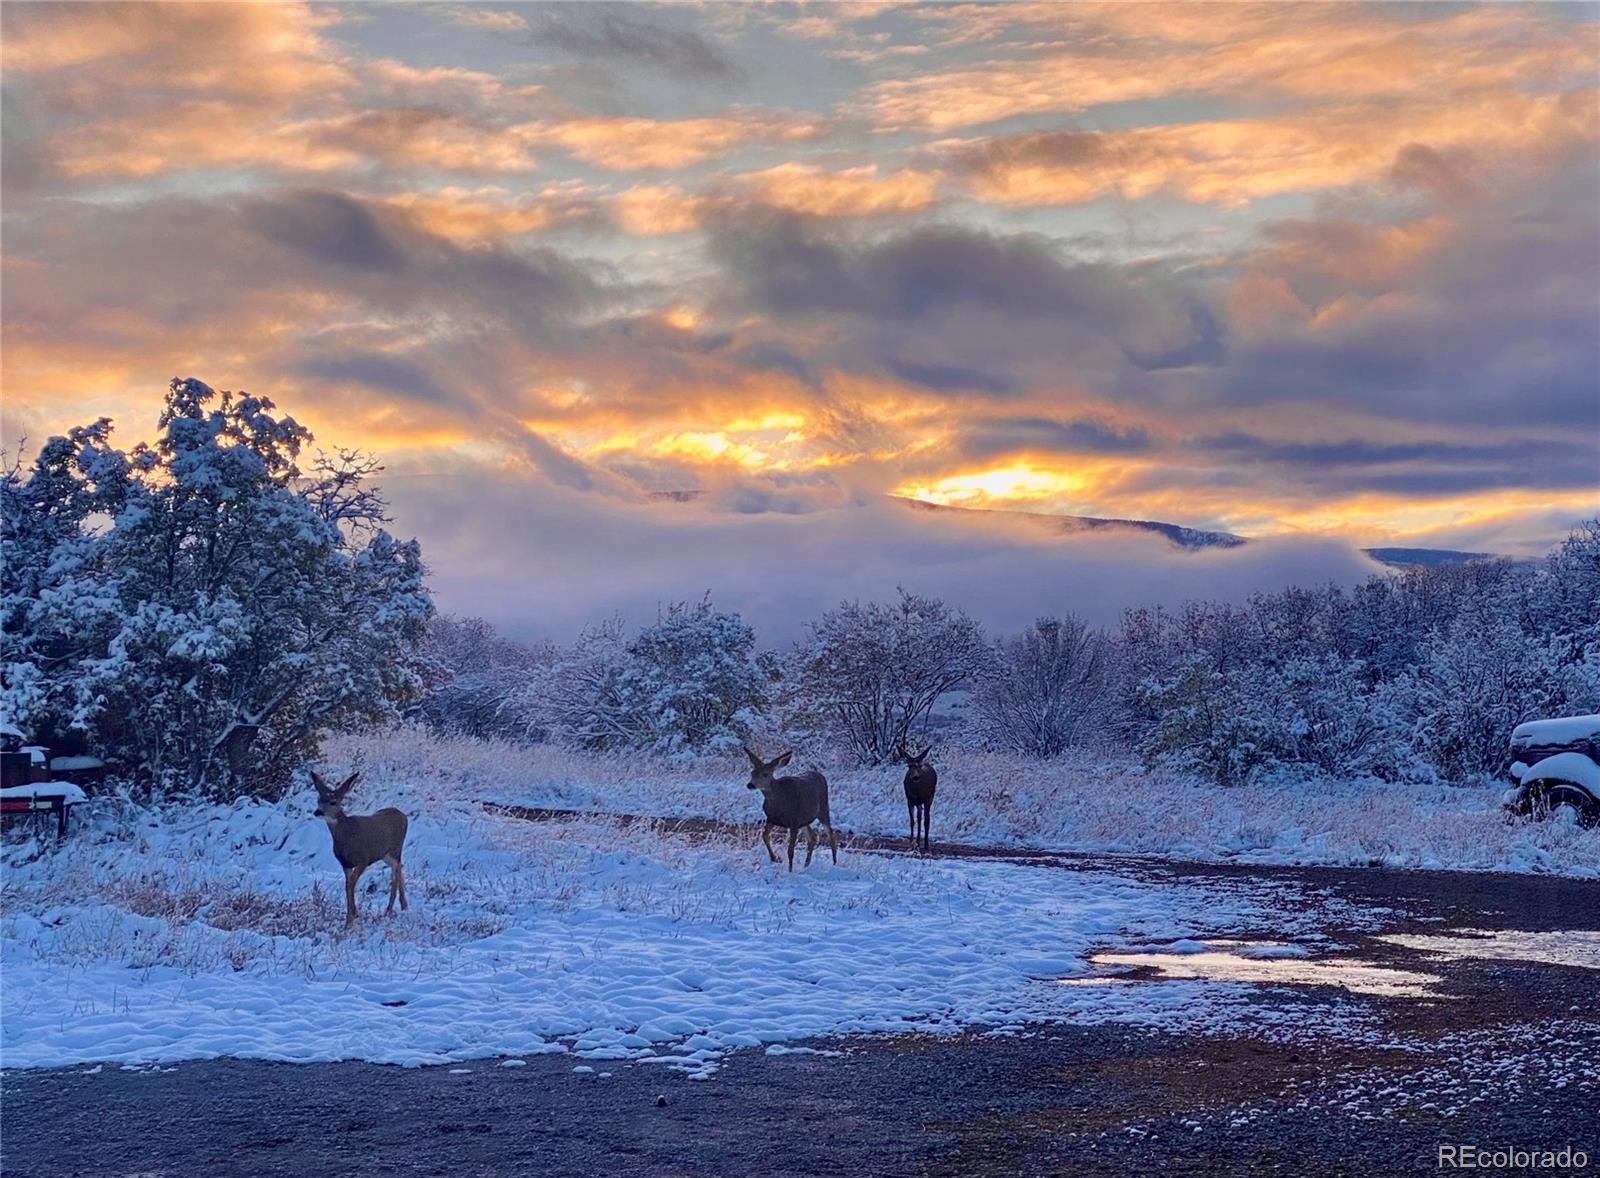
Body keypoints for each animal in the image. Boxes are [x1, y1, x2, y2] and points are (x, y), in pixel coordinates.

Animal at [310, 774, 409, 928]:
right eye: (319, 800)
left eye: (333, 802)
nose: (318, 812)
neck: (347, 835)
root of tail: (404, 816)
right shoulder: (345, 864)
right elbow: (347, 885)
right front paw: (353, 915)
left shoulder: (364, 859)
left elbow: (351, 885)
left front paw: (350, 920)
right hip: (385, 854)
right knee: (400, 868)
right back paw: (404, 905)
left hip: (396, 848)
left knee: (395, 872)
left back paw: (389, 910)